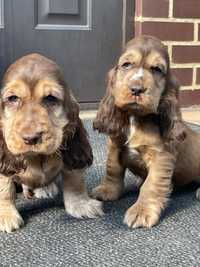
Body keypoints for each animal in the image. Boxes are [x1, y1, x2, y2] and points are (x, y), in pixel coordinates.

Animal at [0, 54, 103, 232]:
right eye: (13, 98)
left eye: (50, 98)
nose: (31, 138)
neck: (36, 157)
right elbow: (4, 187)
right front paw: (6, 215)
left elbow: (75, 180)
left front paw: (81, 205)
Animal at [93, 34, 198, 229]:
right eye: (126, 64)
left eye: (157, 69)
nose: (137, 89)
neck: (136, 117)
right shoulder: (115, 145)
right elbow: (112, 169)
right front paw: (107, 190)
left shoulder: (161, 156)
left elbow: (151, 185)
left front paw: (142, 211)